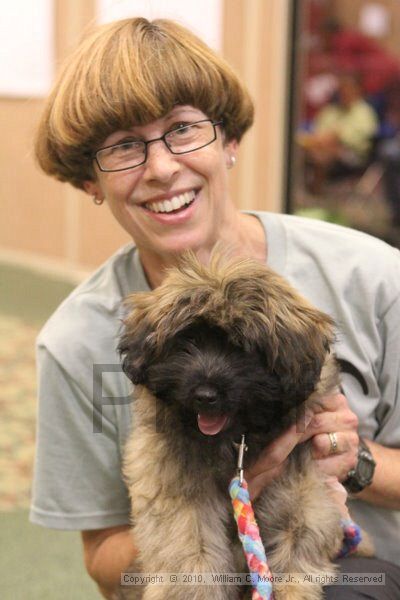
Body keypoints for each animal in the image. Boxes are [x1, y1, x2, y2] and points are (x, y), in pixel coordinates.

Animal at [118, 253, 356, 600]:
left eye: (242, 348)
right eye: (187, 341)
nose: (205, 396)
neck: (237, 440)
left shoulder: (303, 479)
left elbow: (299, 532)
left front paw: (289, 589)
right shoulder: (176, 484)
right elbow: (189, 546)